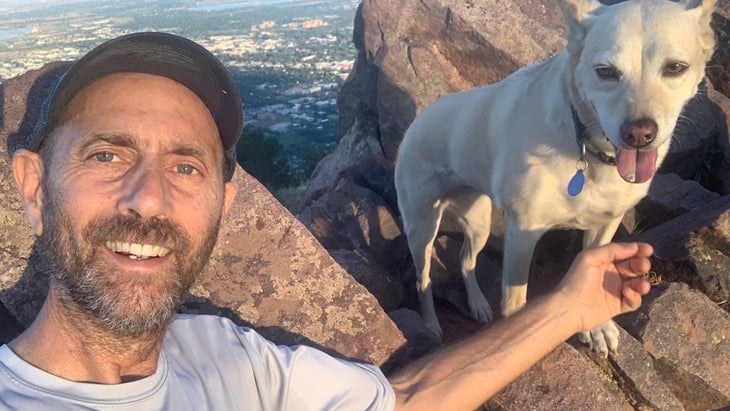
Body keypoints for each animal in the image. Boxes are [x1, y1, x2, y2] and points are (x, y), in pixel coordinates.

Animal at [396, 0, 712, 354]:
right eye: (605, 71)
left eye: (675, 68)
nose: (639, 134)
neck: (588, 149)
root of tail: (419, 118)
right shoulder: (522, 233)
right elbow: (516, 302)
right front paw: (518, 340)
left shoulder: (605, 224)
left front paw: (596, 326)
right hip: (422, 227)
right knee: (423, 278)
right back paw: (431, 325)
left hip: (478, 221)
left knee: (467, 260)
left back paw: (478, 305)